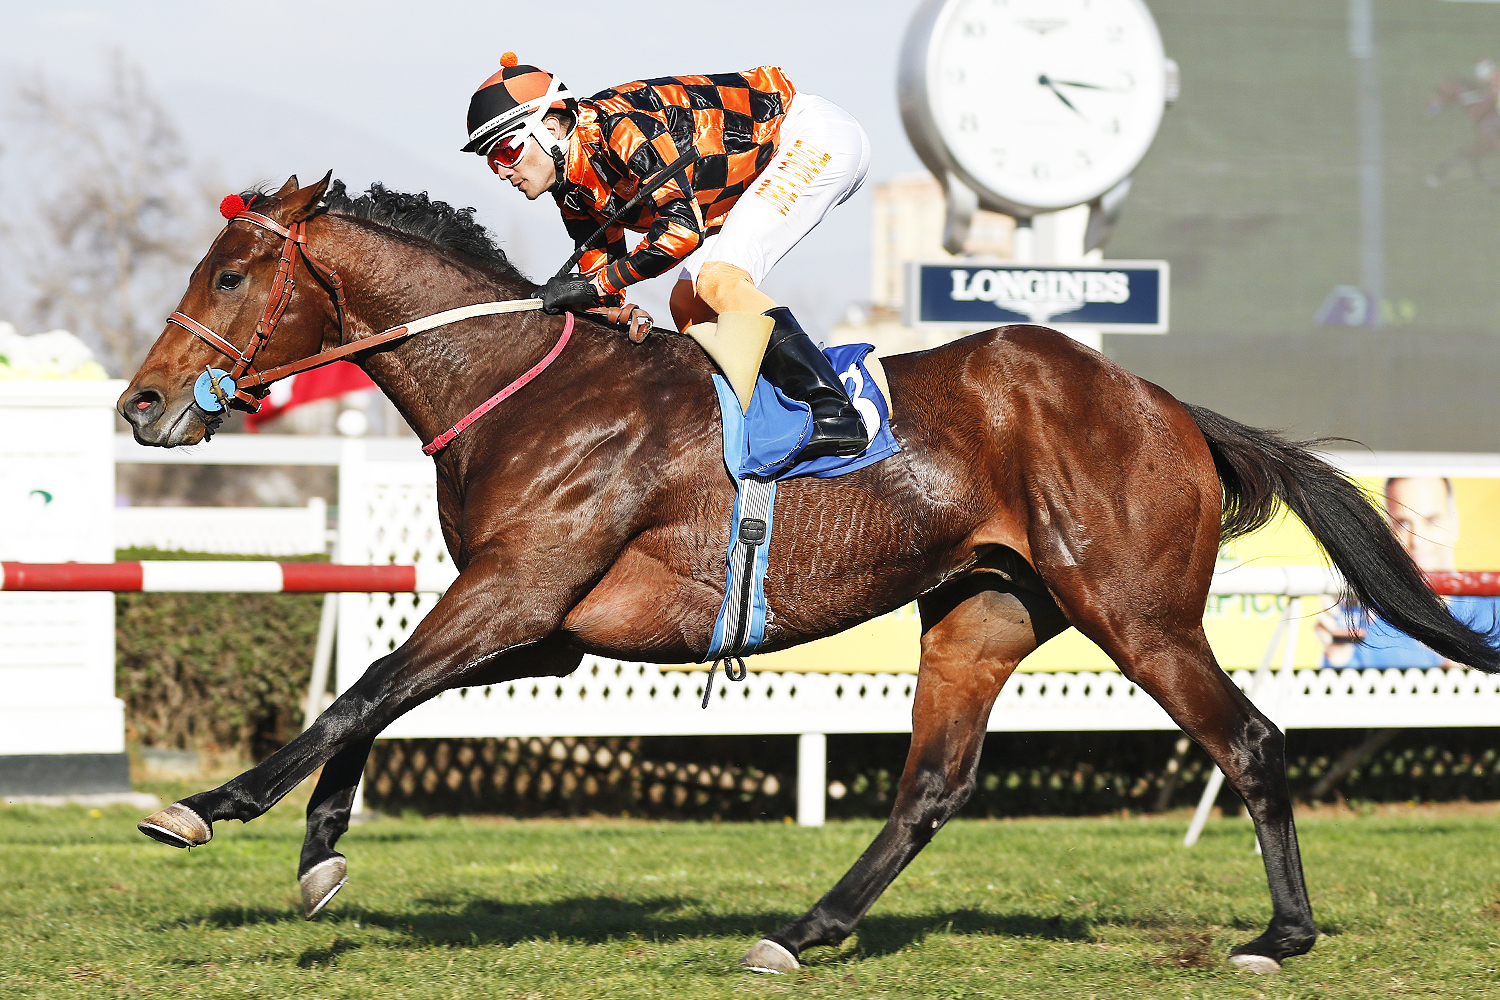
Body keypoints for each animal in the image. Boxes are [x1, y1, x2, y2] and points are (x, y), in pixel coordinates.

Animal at [119, 173, 1500, 975]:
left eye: (231, 272)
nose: (140, 404)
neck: (527, 386)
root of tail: (1167, 404)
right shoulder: (545, 622)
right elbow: (376, 699)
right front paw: (318, 854)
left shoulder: (518, 594)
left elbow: (363, 693)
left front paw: (208, 806)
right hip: (983, 611)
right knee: (932, 784)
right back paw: (802, 930)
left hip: (1136, 609)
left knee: (1252, 738)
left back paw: (1282, 935)